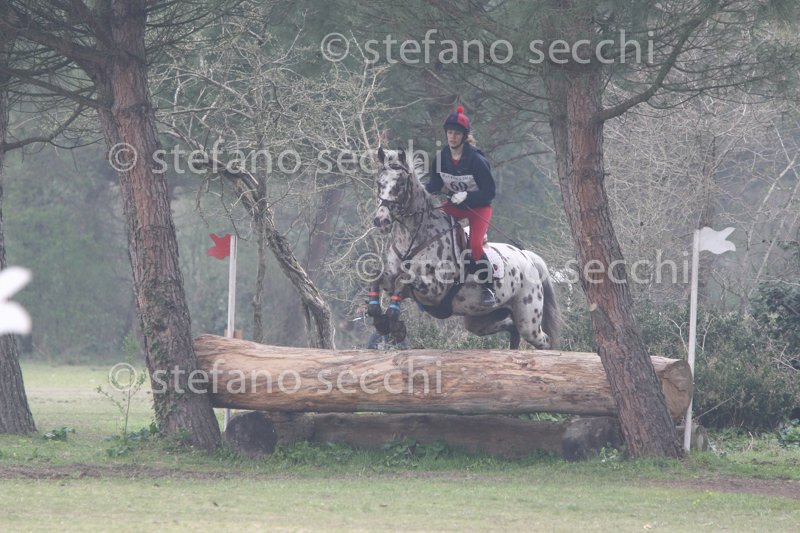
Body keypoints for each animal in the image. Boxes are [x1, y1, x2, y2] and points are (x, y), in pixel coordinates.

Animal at [366, 147, 561, 350]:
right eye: (379, 182)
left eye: (400, 184)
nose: (381, 221)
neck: (413, 237)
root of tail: (528, 257)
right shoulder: (394, 279)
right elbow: (377, 276)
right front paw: (380, 318)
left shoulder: (435, 290)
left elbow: (403, 280)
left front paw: (392, 321)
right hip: (479, 320)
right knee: (511, 328)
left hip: (528, 320)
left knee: (544, 341)